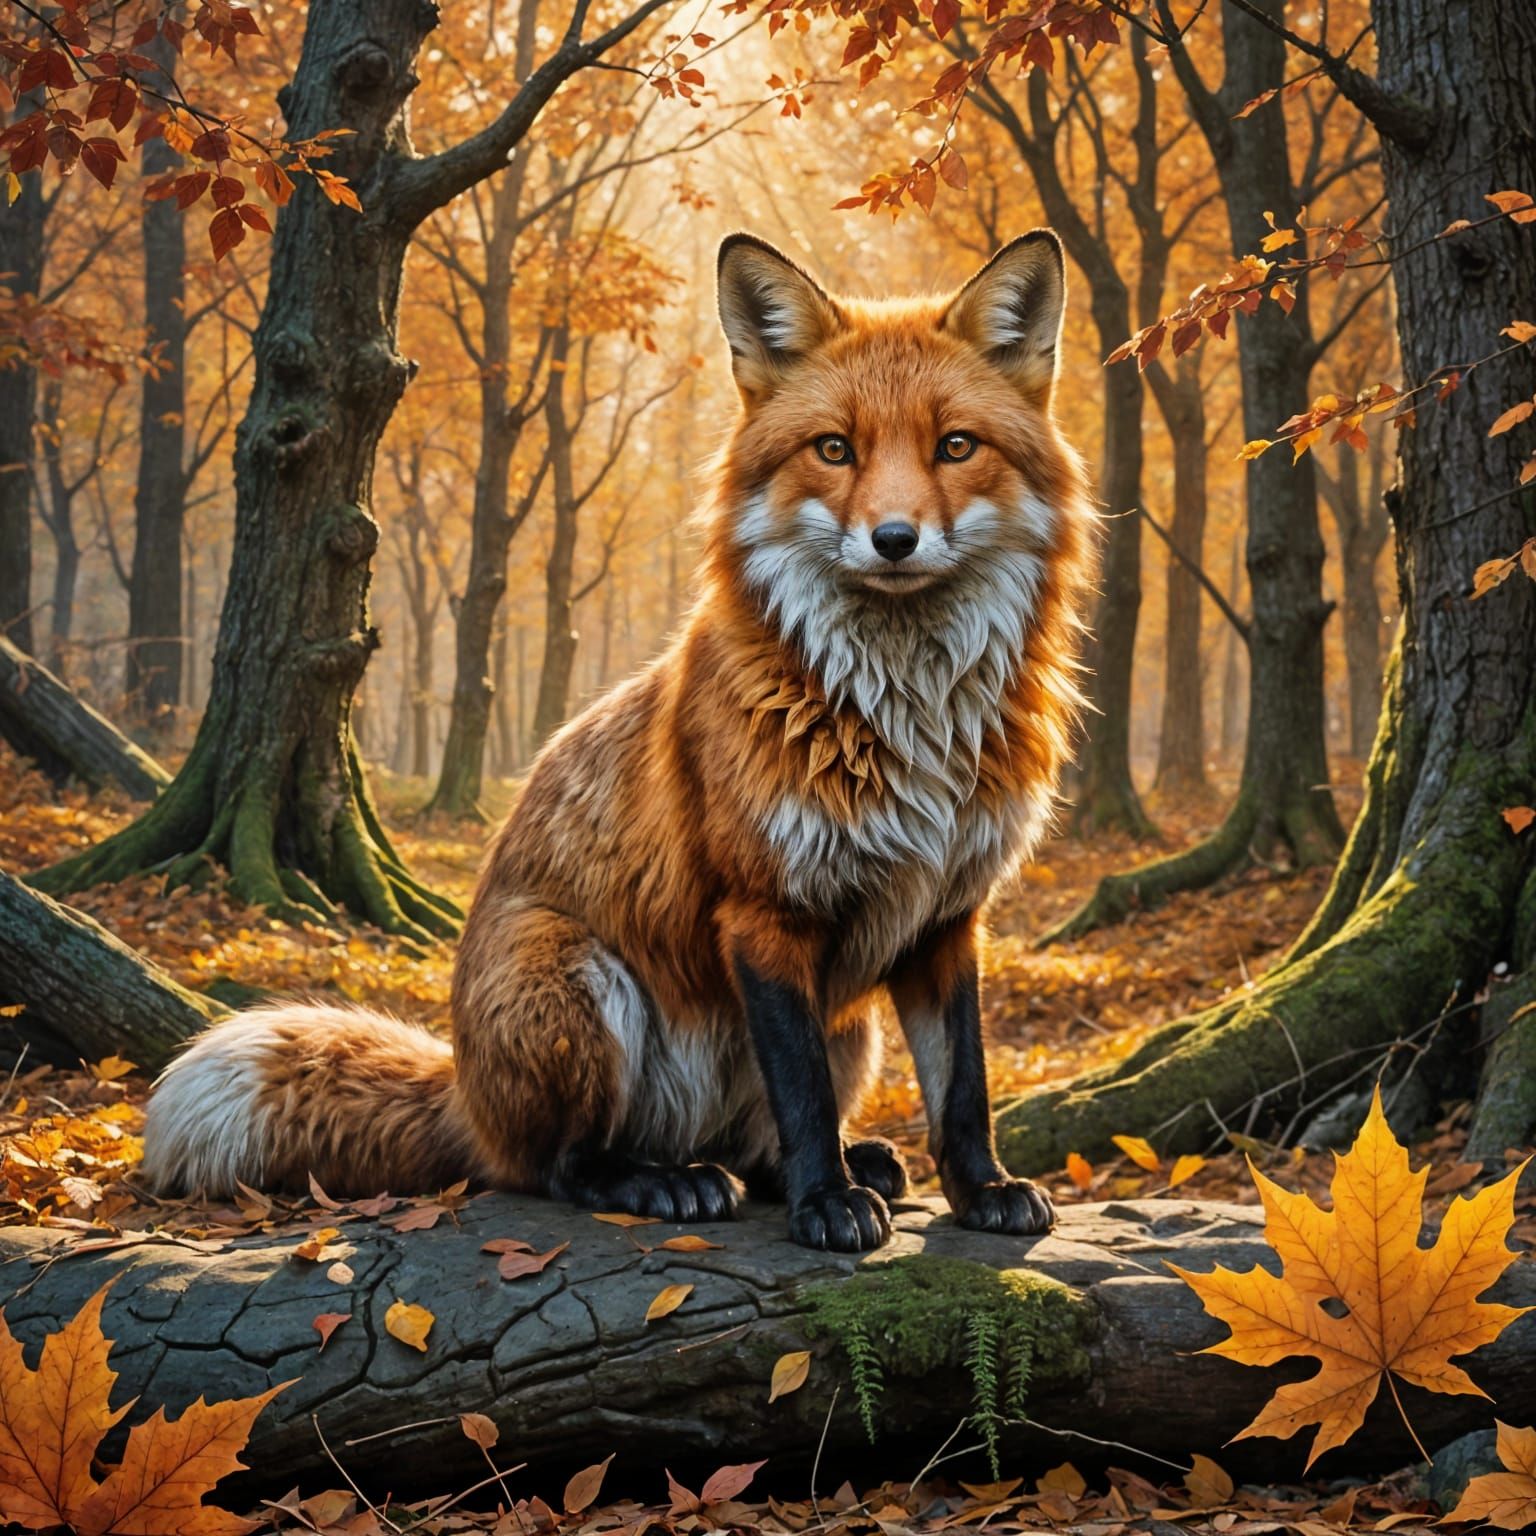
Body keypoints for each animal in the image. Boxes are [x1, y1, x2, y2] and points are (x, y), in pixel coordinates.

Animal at [143, 230, 1094, 1252]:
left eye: (955, 446)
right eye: (834, 449)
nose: (893, 538)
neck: (905, 717)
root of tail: (467, 1093)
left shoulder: (948, 914)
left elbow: (963, 1087)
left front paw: (981, 1189)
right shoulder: (763, 911)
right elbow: (801, 1098)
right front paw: (826, 1206)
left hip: (851, 1031)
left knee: (752, 1145)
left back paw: (826, 1163)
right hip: (574, 975)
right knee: (556, 1166)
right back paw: (662, 1181)